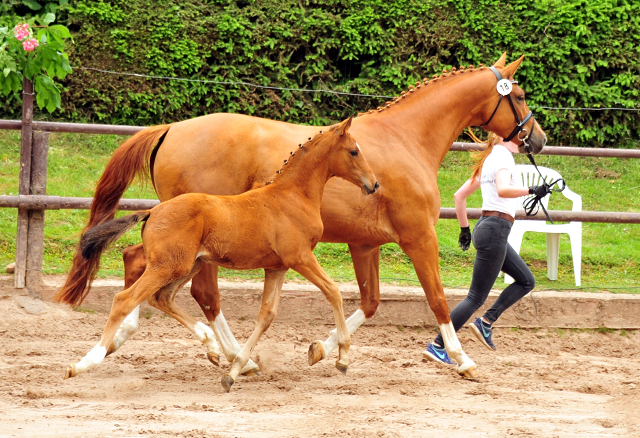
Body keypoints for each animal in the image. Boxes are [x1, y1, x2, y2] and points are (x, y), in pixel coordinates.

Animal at [62, 116, 378, 390]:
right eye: (354, 151)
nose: (373, 184)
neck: (291, 197)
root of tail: (152, 212)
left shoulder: (277, 267)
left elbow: (267, 315)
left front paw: (235, 371)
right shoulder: (300, 257)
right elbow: (333, 291)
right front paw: (342, 358)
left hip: (188, 265)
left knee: (161, 297)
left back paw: (210, 343)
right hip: (169, 266)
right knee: (125, 299)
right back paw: (85, 363)